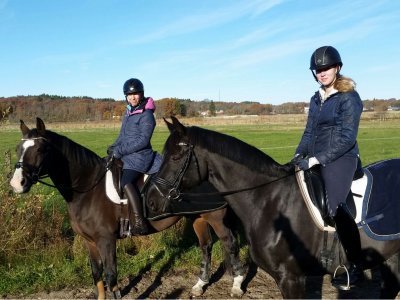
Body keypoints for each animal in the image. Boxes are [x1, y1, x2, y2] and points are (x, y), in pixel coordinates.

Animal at [9, 118, 245, 298]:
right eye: (18, 149)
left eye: (40, 149)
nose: (16, 184)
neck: (87, 187)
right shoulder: (89, 241)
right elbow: (97, 276)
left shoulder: (106, 240)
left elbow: (111, 276)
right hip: (197, 217)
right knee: (206, 246)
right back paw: (199, 285)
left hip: (215, 217)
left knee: (229, 243)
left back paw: (237, 284)